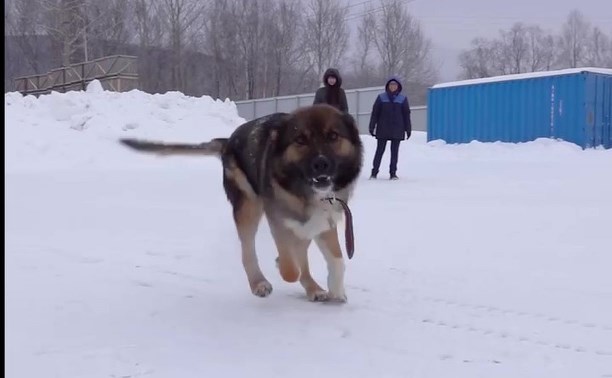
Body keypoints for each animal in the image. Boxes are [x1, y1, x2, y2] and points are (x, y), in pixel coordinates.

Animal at [119, 103, 364, 302]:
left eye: (333, 136)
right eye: (300, 140)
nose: (320, 164)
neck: (308, 190)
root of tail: (228, 141)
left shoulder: (325, 218)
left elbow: (337, 259)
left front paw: (336, 289)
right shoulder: (278, 218)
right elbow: (289, 265)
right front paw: (284, 266)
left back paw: (313, 287)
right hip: (249, 206)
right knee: (248, 250)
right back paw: (259, 282)